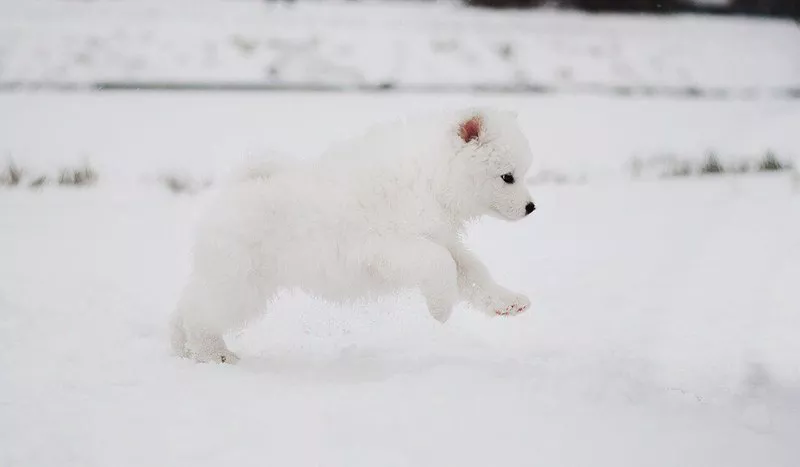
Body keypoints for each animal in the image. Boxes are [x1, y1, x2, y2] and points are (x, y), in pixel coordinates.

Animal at [172, 108, 536, 364]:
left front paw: (507, 302)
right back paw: (212, 353)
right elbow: (439, 264)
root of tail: (235, 189)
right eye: (507, 177)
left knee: (187, 303)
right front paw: (441, 310)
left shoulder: (439, 237)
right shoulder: (389, 246)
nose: (532, 207)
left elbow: (470, 271)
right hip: (240, 283)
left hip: (227, 278)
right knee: (200, 313)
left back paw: (182, 347)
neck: (430, 177)